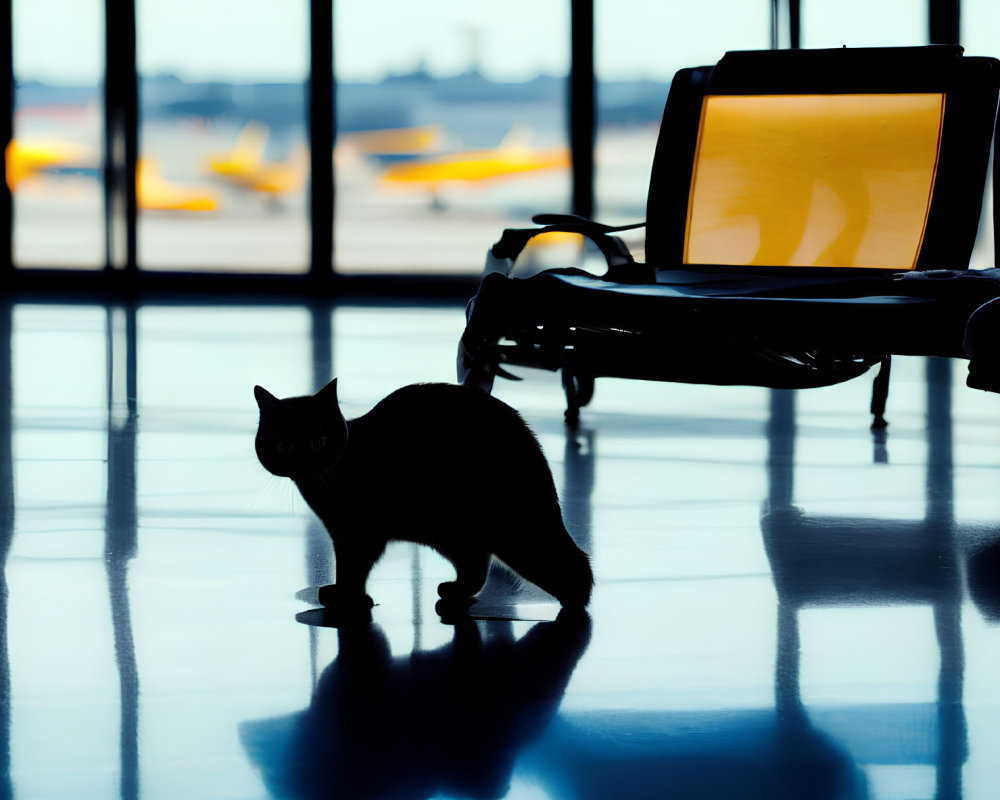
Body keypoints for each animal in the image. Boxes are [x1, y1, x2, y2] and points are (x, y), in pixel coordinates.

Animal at [254, 378, 592, 616]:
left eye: (320, 441)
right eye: (284, 446)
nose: (304, 462)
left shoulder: (358, 534)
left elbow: (352, 570)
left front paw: (346, 597)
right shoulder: (348, 534)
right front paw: (353, 597)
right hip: (452, 533)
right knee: (476, 565)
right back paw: (454, 591)